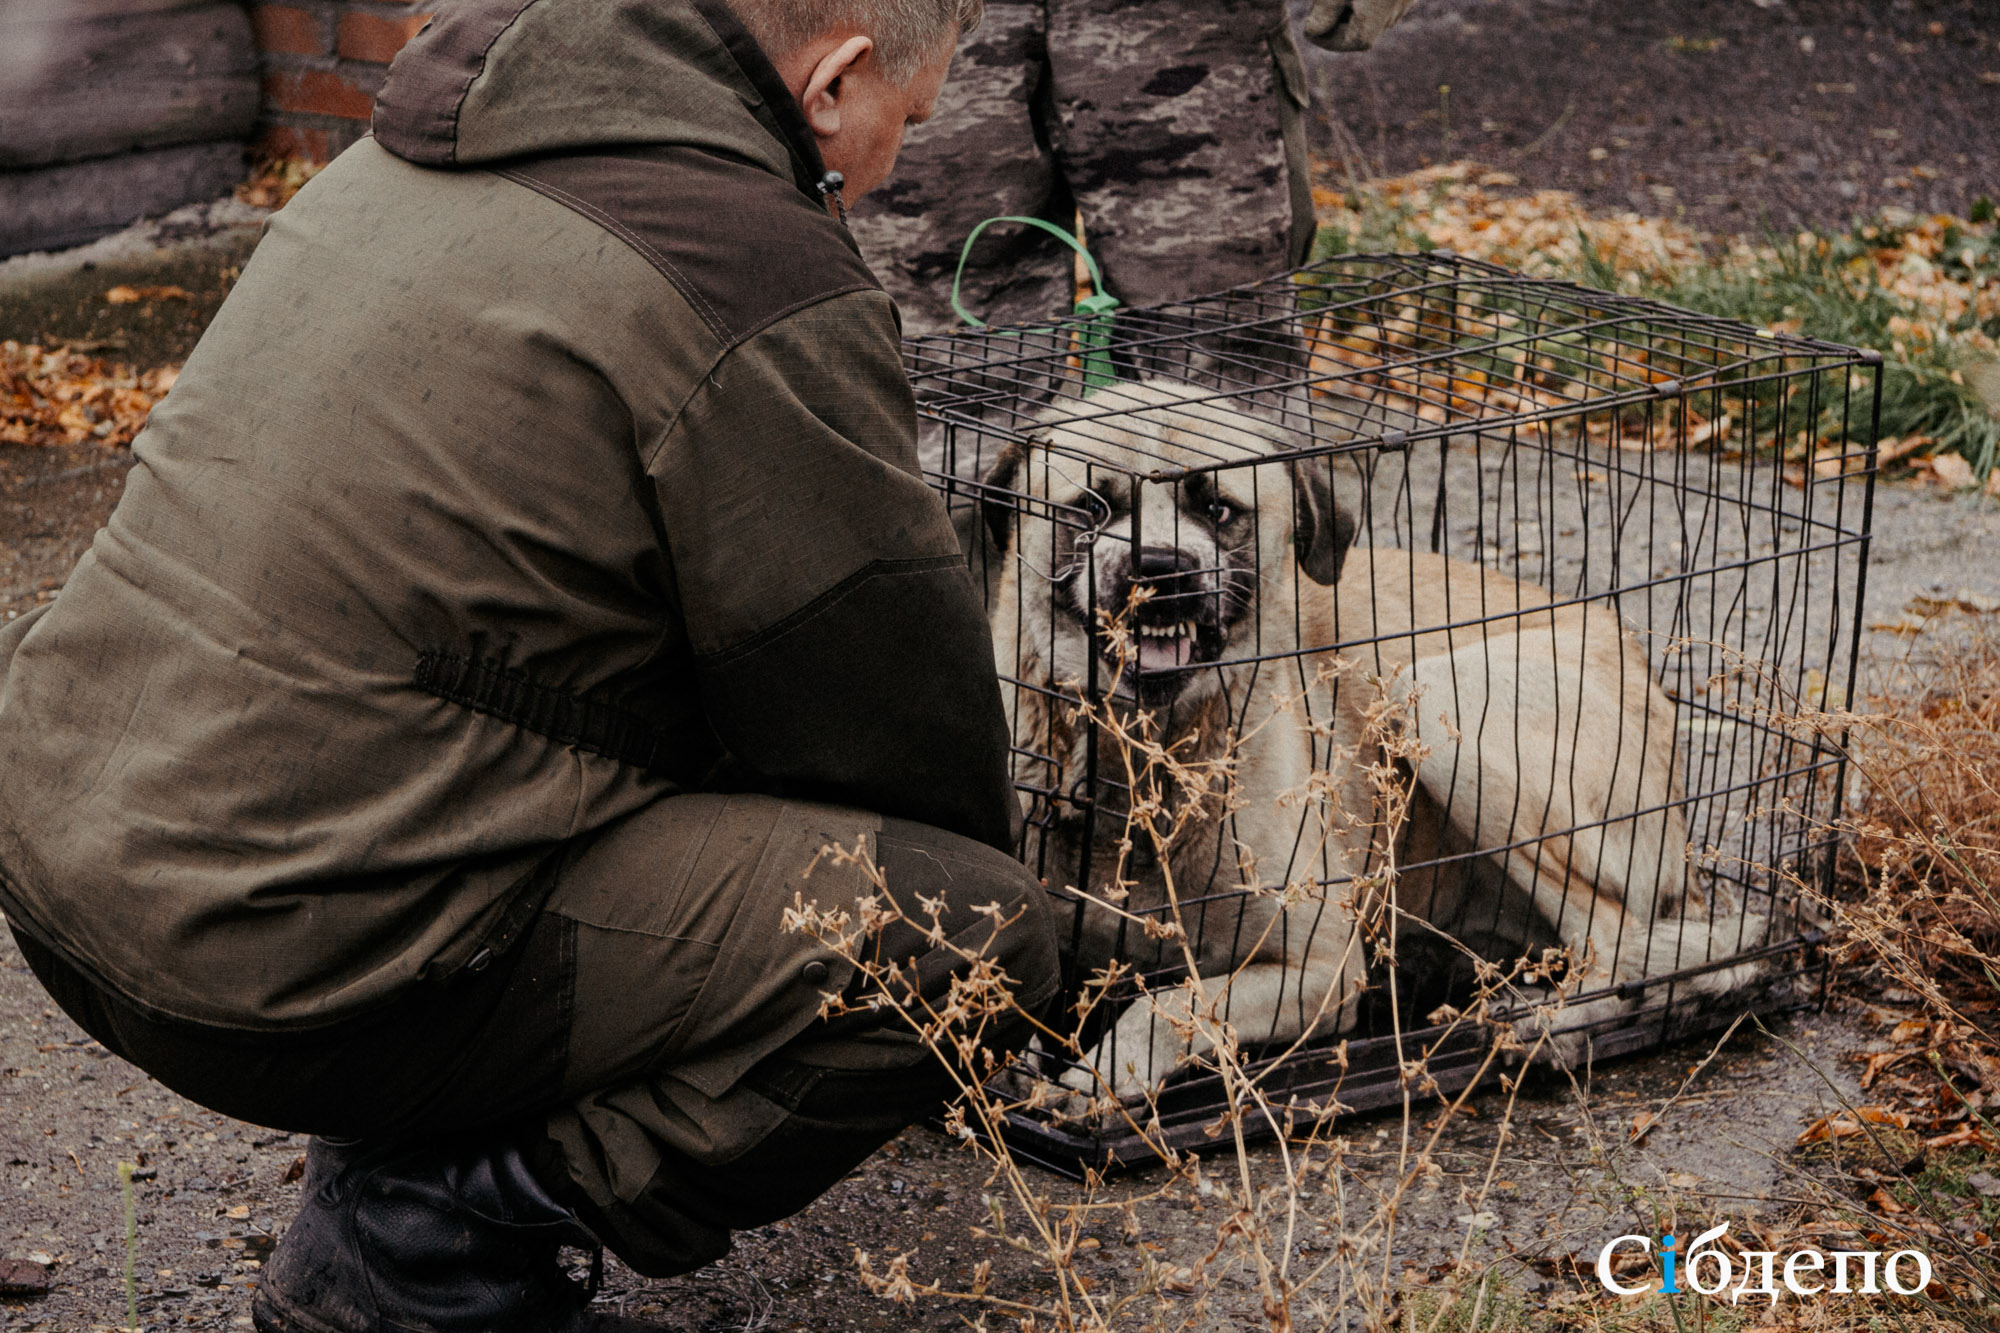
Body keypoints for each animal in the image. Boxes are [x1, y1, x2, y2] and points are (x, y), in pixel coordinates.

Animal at [976, 376, 1760, 1096]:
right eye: (1092, 507)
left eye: (1218, 509)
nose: (1162, 570)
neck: (1147, 758)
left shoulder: (1322, 970)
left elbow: (1170, 1003)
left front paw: (1103, 1074)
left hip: (1436, 695)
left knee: (1620, 941)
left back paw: (1548, 1026)